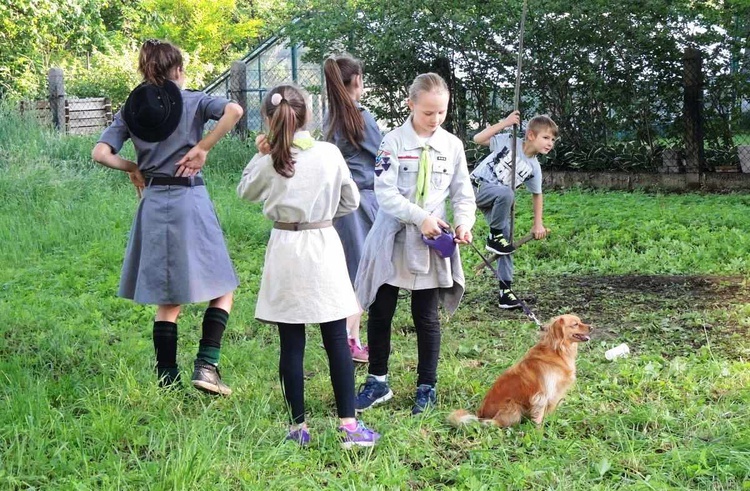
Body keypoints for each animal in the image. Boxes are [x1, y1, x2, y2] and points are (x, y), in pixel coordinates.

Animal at [450, 318, 596, 428]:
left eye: (581, 321)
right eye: (575, 324)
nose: (591, 327)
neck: (557, 351)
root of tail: (480, 414)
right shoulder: (541, 395)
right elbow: (539, 416)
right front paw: (539, 432)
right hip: (513, 406)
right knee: (492, 422)